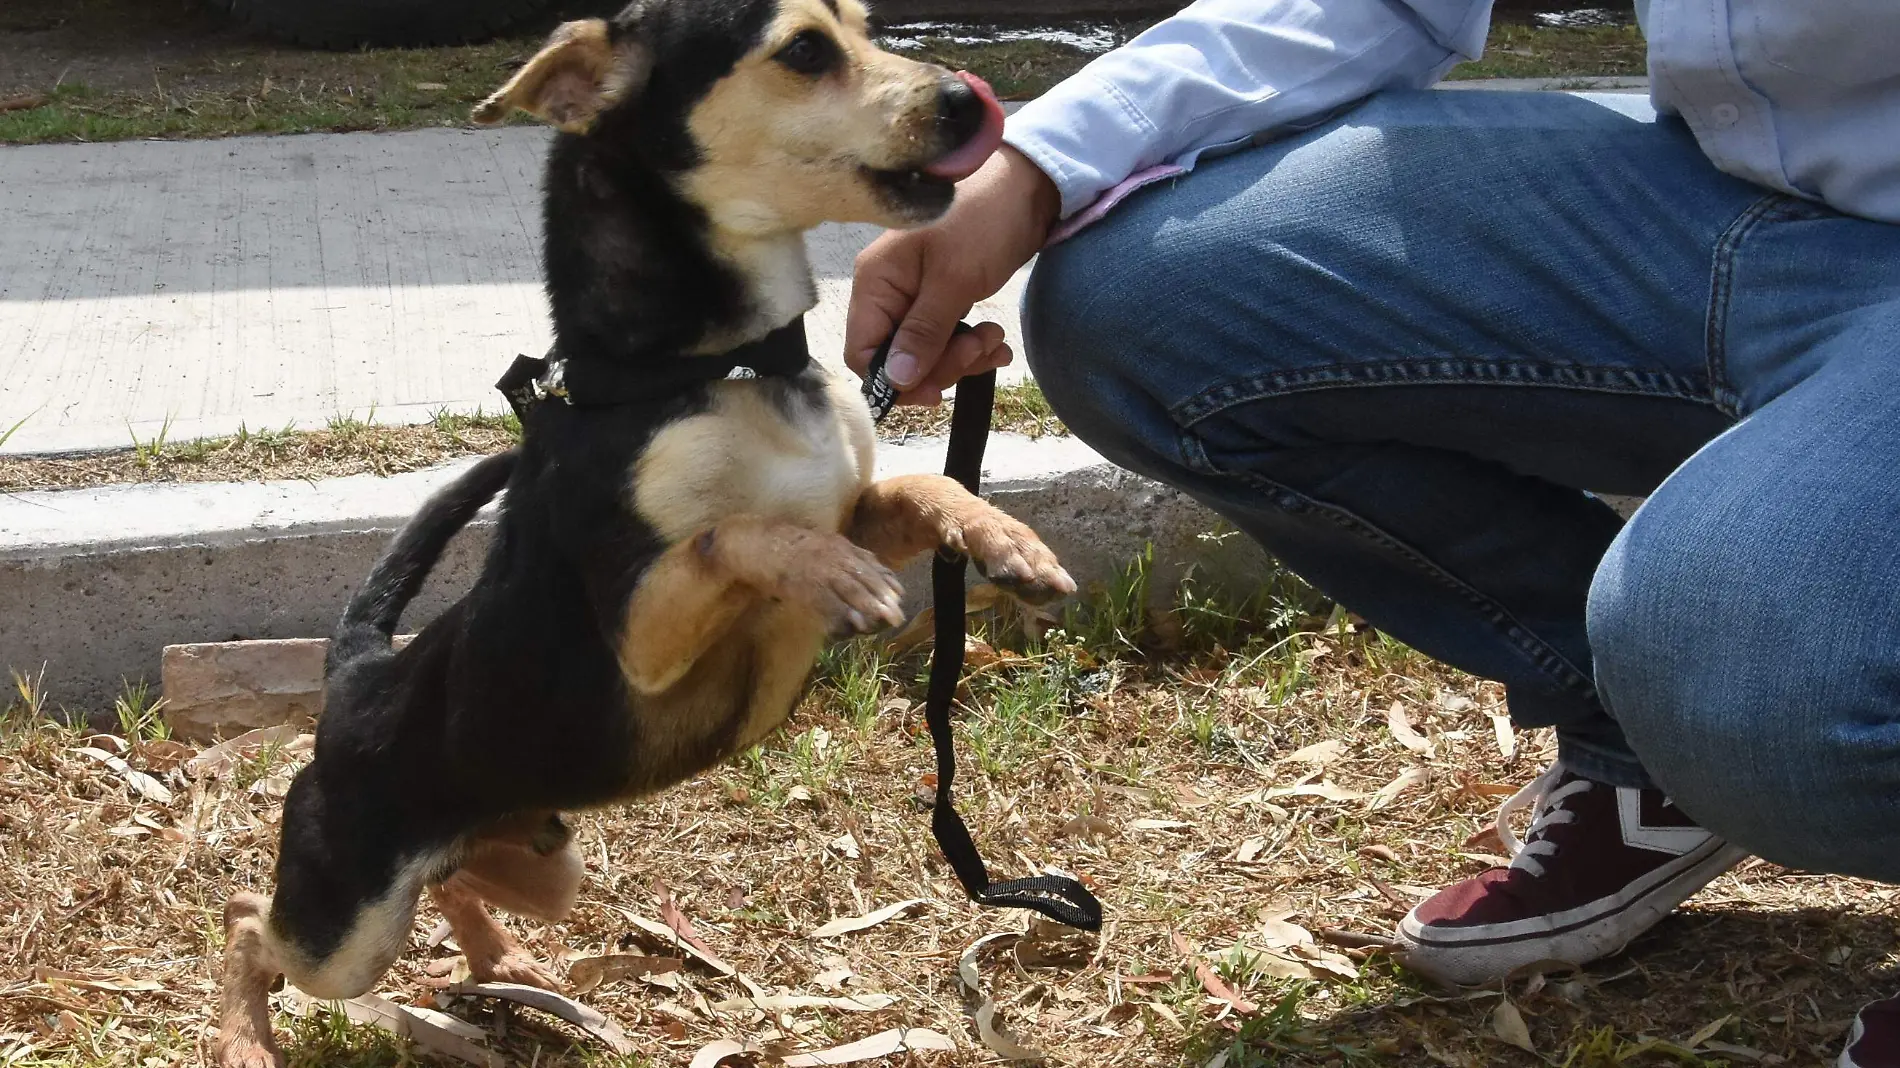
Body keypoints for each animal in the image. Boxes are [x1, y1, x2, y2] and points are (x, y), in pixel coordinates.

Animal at [215, 2, 1079, 1064]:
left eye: (868, 27)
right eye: (804, 50)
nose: (969, 97)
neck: (721, 370)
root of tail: (358, 677)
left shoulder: (849, 504)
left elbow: (917, 486)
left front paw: (1001, 538)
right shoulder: (641, 633)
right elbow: (732, 535)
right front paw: (834, 574)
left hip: (543, 862)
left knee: (452, 880)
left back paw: (501, 959)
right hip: (348, 928)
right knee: (249, 918)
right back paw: (245, 1035)